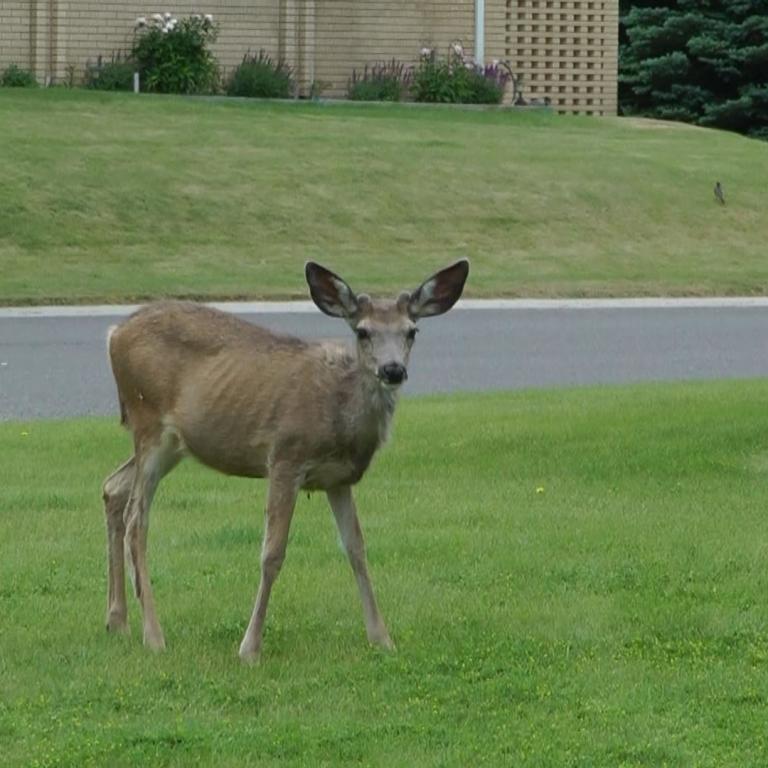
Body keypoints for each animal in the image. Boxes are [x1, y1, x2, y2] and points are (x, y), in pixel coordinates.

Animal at [101, 259, 469, 661]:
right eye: (363, 332)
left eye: (411, 331)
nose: (392, 370)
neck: (339, 411)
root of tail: (114, 334)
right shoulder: (284, 457)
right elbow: (272, 553)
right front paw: (249, 647)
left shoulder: (338, 479)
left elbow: (356, 549)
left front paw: (382, 638)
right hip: (148, 421)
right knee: (137, 519)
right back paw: (154, 635)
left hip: (171, 444)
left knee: (113, 487)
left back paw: (117, 621)